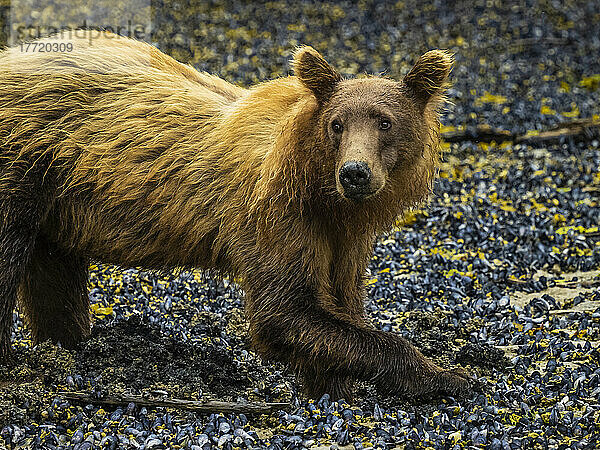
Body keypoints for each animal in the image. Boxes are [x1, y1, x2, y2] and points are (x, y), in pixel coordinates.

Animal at [0, 30, 472, 398]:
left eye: (385, 122)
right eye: (337, 124)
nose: (355, 172)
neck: (322, 191)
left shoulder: (344, 236)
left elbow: (338, 300)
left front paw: (332, 387)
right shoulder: (276, 214)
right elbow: (284, 311)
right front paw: (452, 376)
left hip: (56, 193)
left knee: (55, 273)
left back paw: (66, 345)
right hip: (21, 166)